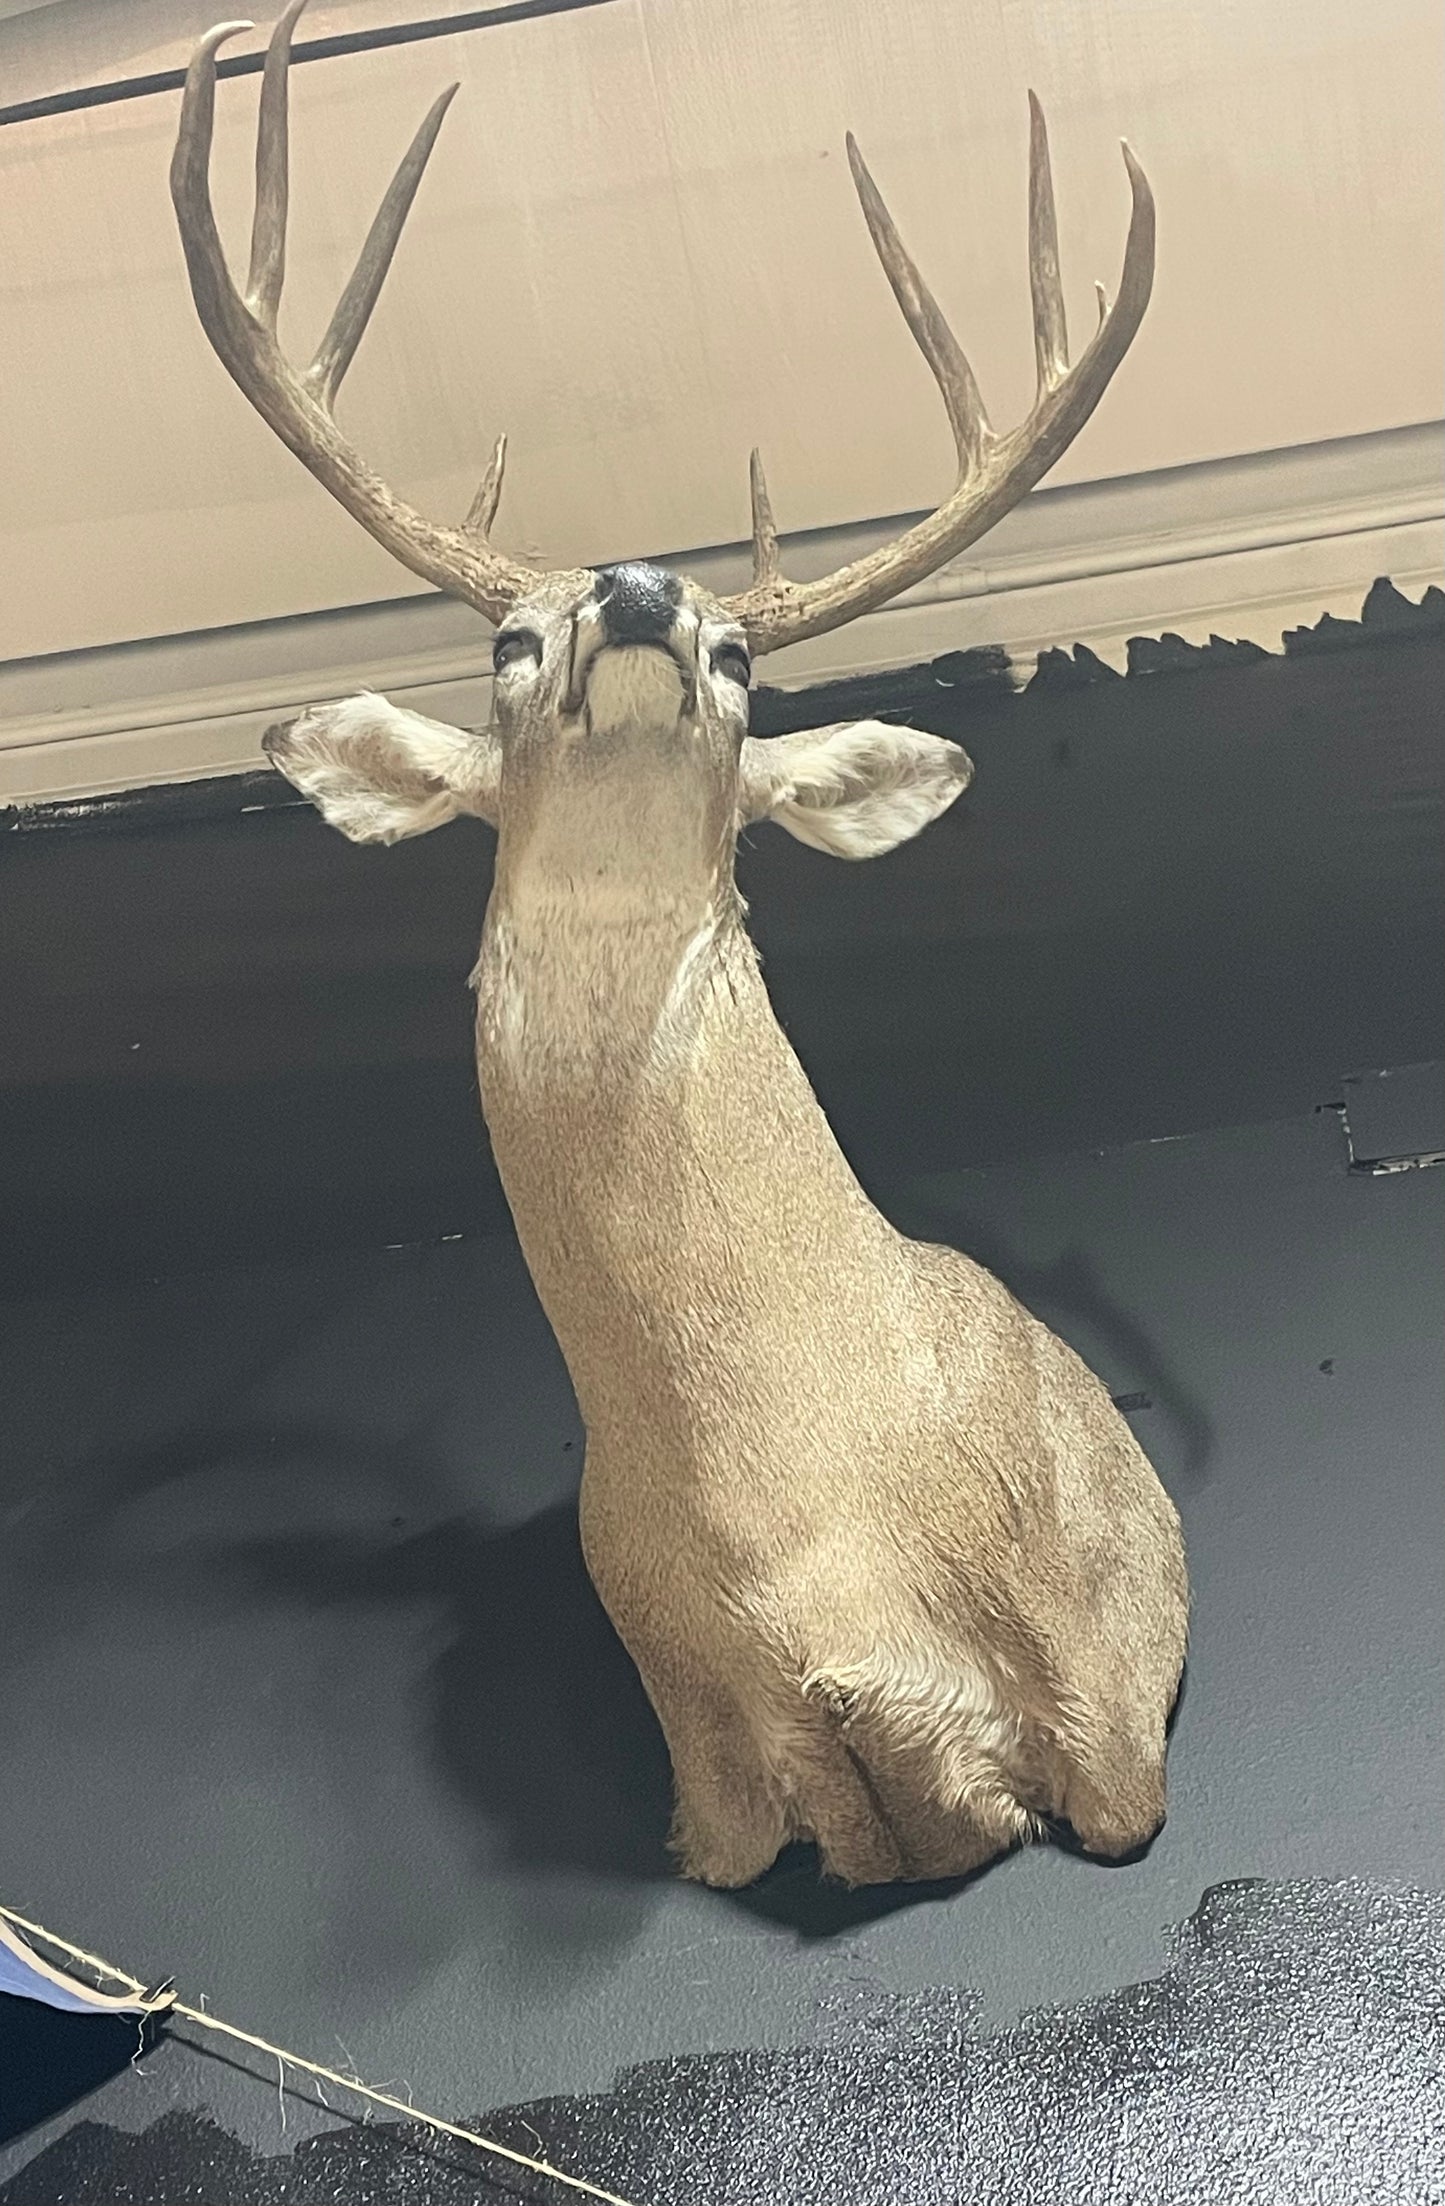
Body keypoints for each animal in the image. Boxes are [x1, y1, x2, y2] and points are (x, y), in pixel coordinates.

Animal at [170, 4, 1188, 1888]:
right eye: (507, 637)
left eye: (740, 654)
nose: (643, 590)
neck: (791, 1508)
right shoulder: (708, 1771)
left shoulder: (1105, 1706)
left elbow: (1098, 1794)